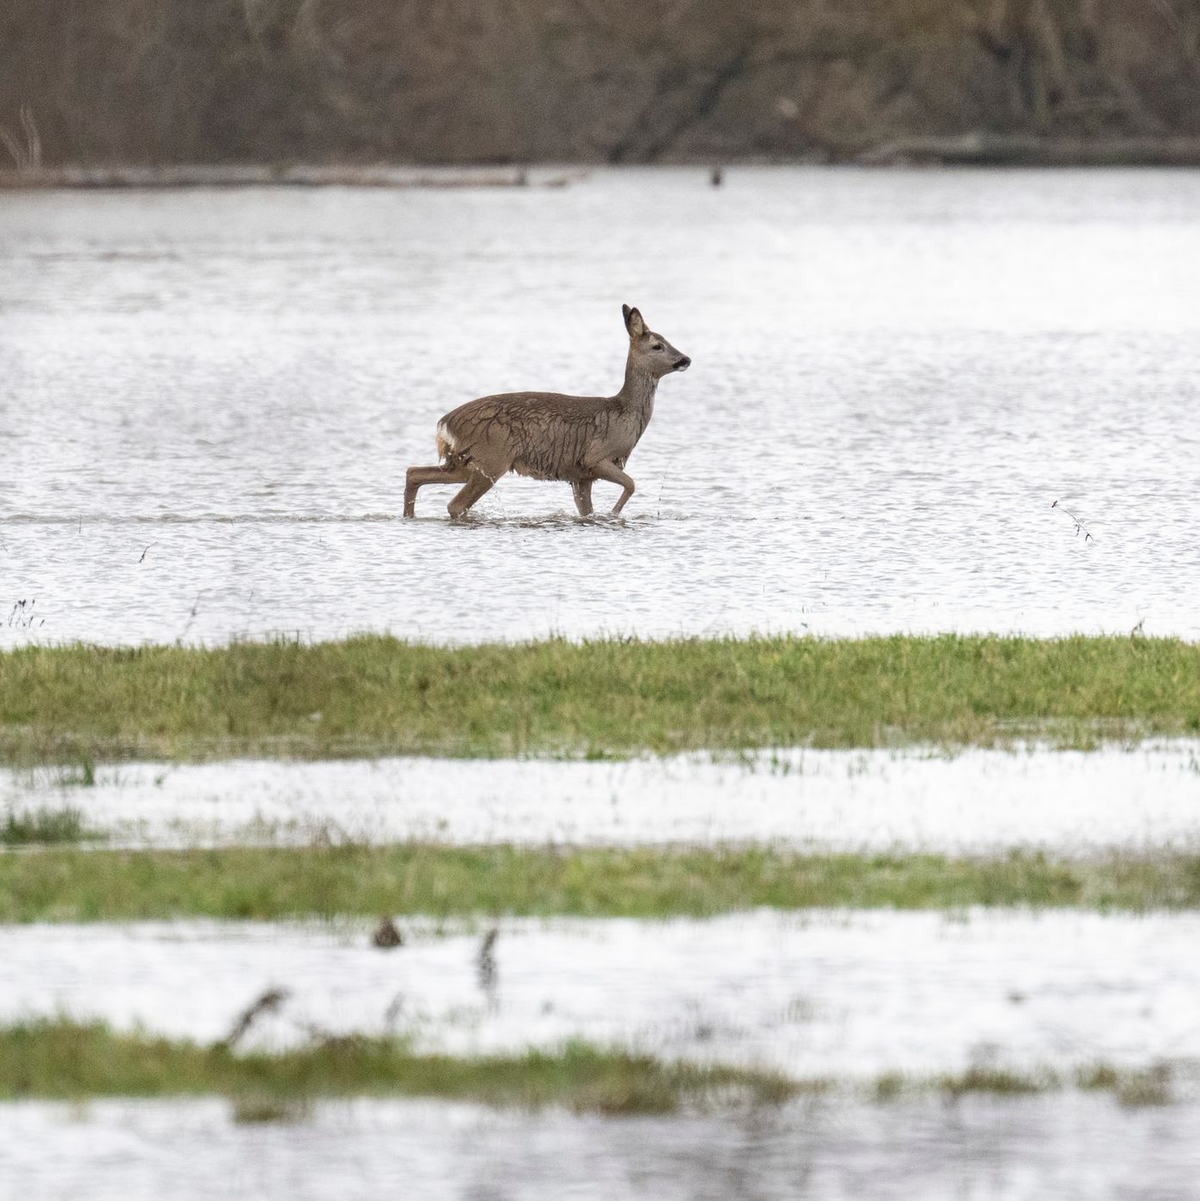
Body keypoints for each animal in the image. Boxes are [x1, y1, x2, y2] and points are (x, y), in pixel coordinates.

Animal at [403, 304, 690, 519]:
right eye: (657, 345)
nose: (686, 359)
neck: (624, 412)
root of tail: (445, 423)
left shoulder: (581, 476)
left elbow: (587, 511)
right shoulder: (595, 457)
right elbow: (631, 484)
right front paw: (614, 513)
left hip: (466, 461)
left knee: (414, 472)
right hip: (492, 459)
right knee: (455, 504)